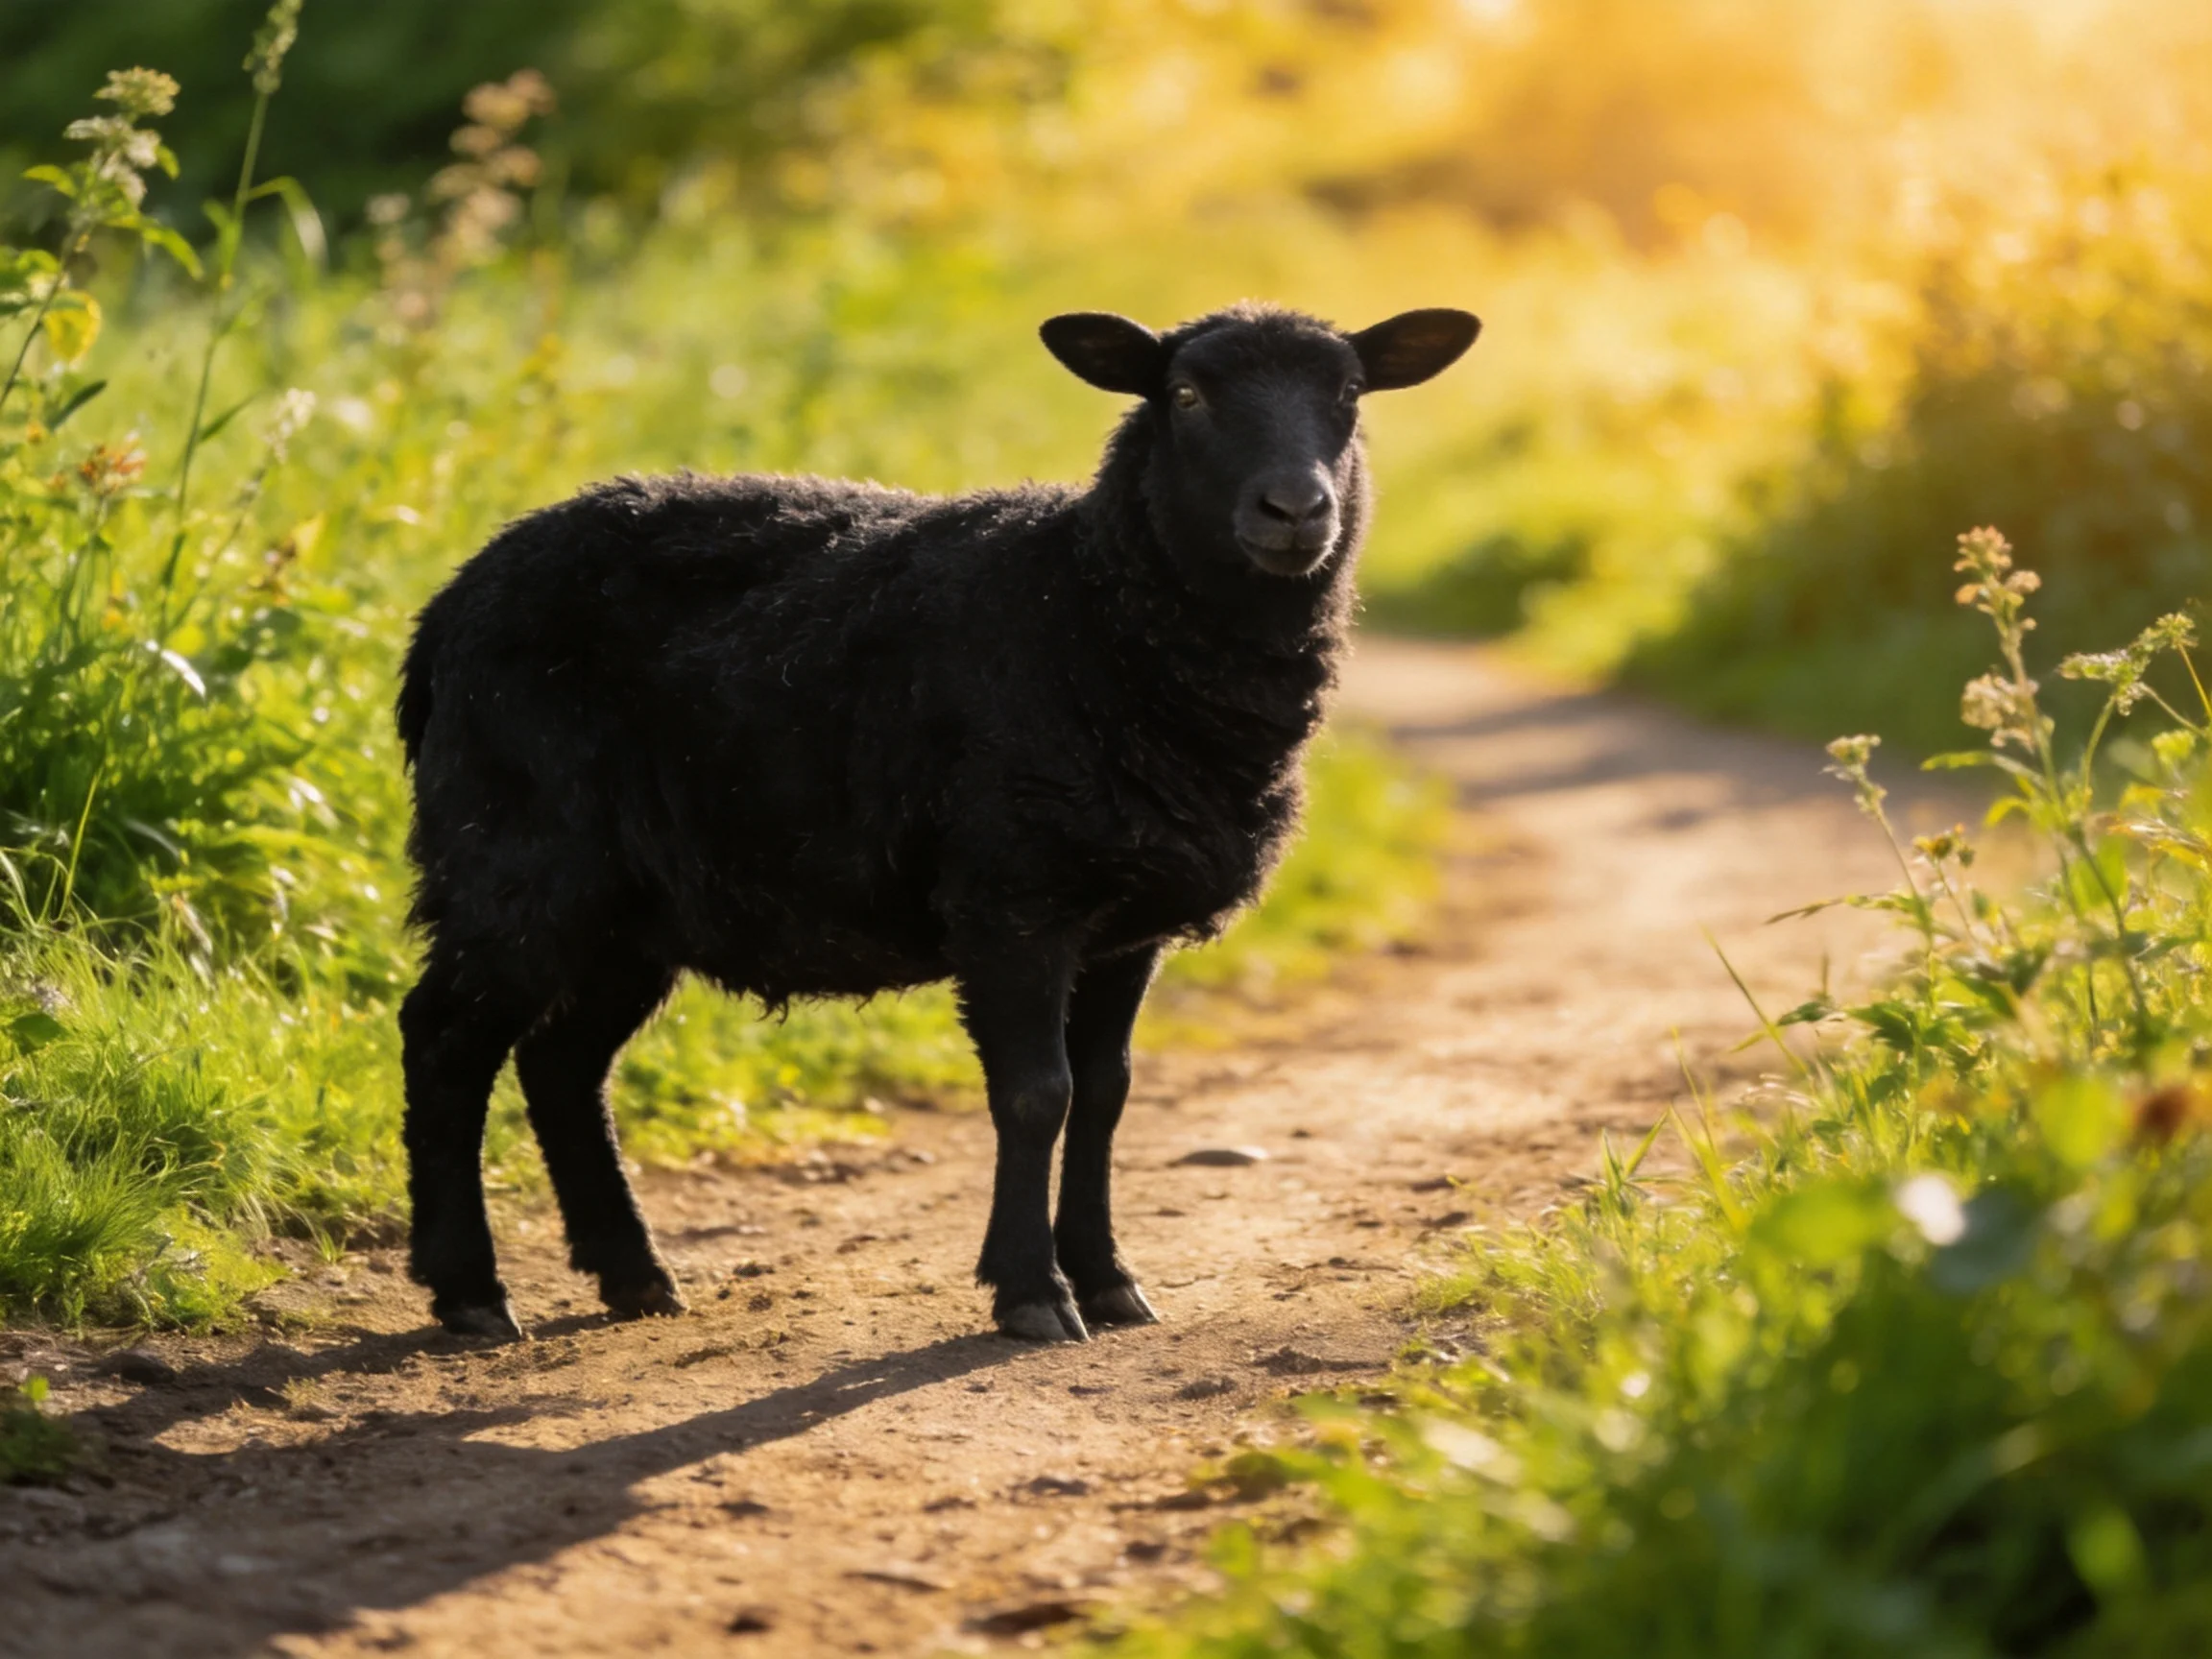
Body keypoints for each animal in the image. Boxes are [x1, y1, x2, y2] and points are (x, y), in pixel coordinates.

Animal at [396, 301, 1481, 1343]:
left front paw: (1109, 1280)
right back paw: (471, 1293)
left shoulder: (1125, 928)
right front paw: (1033, 1292)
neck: (1088, 613)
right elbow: (1038, 1094)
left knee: (561, 1063)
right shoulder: (1011, 898)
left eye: (1348, 393)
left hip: (631, 907)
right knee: (444, 1040)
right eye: (1184, 395)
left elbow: (1107, 1095)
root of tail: (445, 609)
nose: (1296, 509)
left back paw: (634, 1276)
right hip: (515, 858)